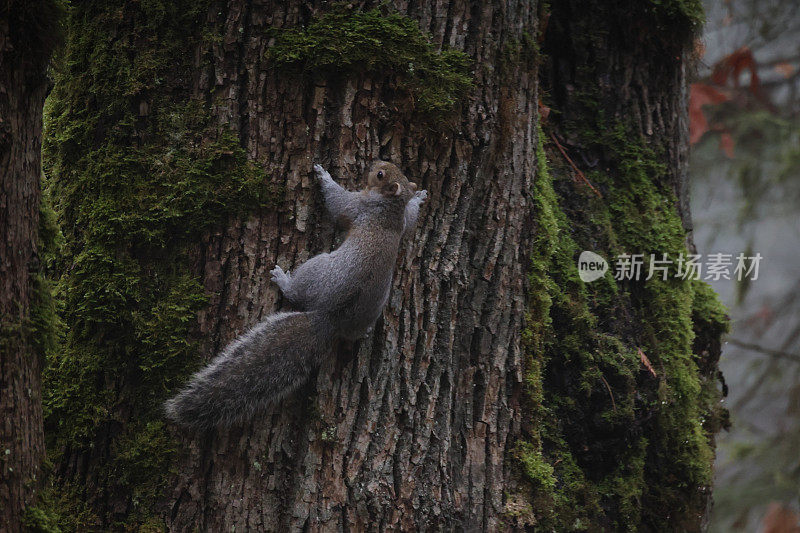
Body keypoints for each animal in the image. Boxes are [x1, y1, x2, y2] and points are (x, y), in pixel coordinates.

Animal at [162, 160, 424, 430]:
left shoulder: (358, 206)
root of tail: (329, 318)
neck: (390, 207)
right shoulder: (401, 221)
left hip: (316, 270)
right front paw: (419, 197)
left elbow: (337, 204)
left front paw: (324, 176)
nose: (374, 164)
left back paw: (283, 280)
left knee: (298, 291)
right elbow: (411, 221)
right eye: (388, 170)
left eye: (380, 175)